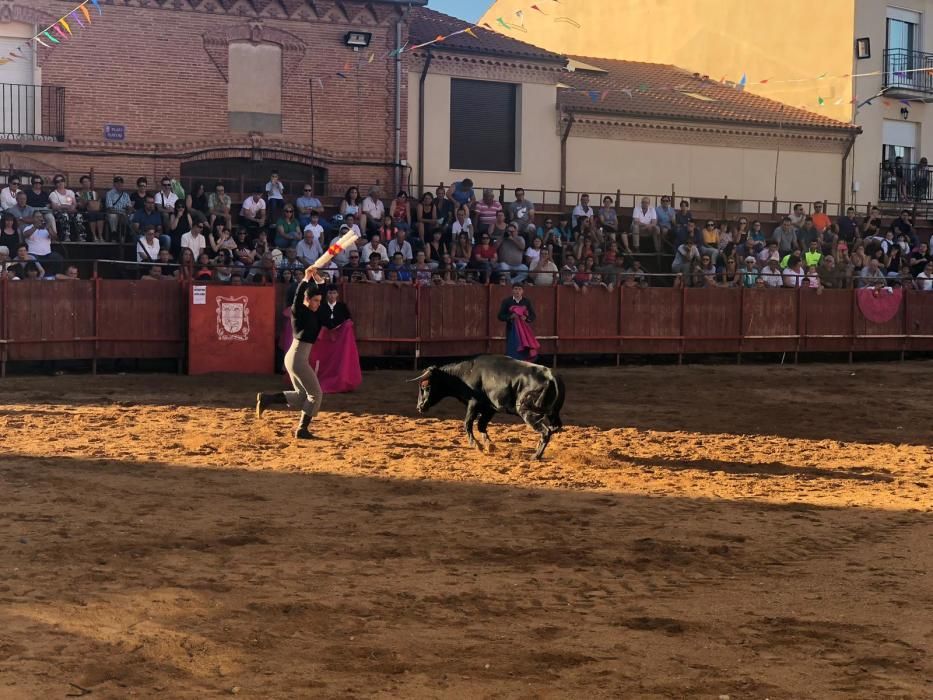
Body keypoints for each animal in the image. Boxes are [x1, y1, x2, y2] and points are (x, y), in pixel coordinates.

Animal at [410, 356, 568, 460]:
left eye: (425, 386)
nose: (419, 406)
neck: (466, 374)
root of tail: (551, 376)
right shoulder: (489, 408)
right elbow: (481, 425)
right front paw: (489, 446)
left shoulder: (474, 403)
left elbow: (467, 423)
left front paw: (477, 445)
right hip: (552, 413)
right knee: (554, 428)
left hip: (528, 412)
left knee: (546, 431)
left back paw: (535, 456)